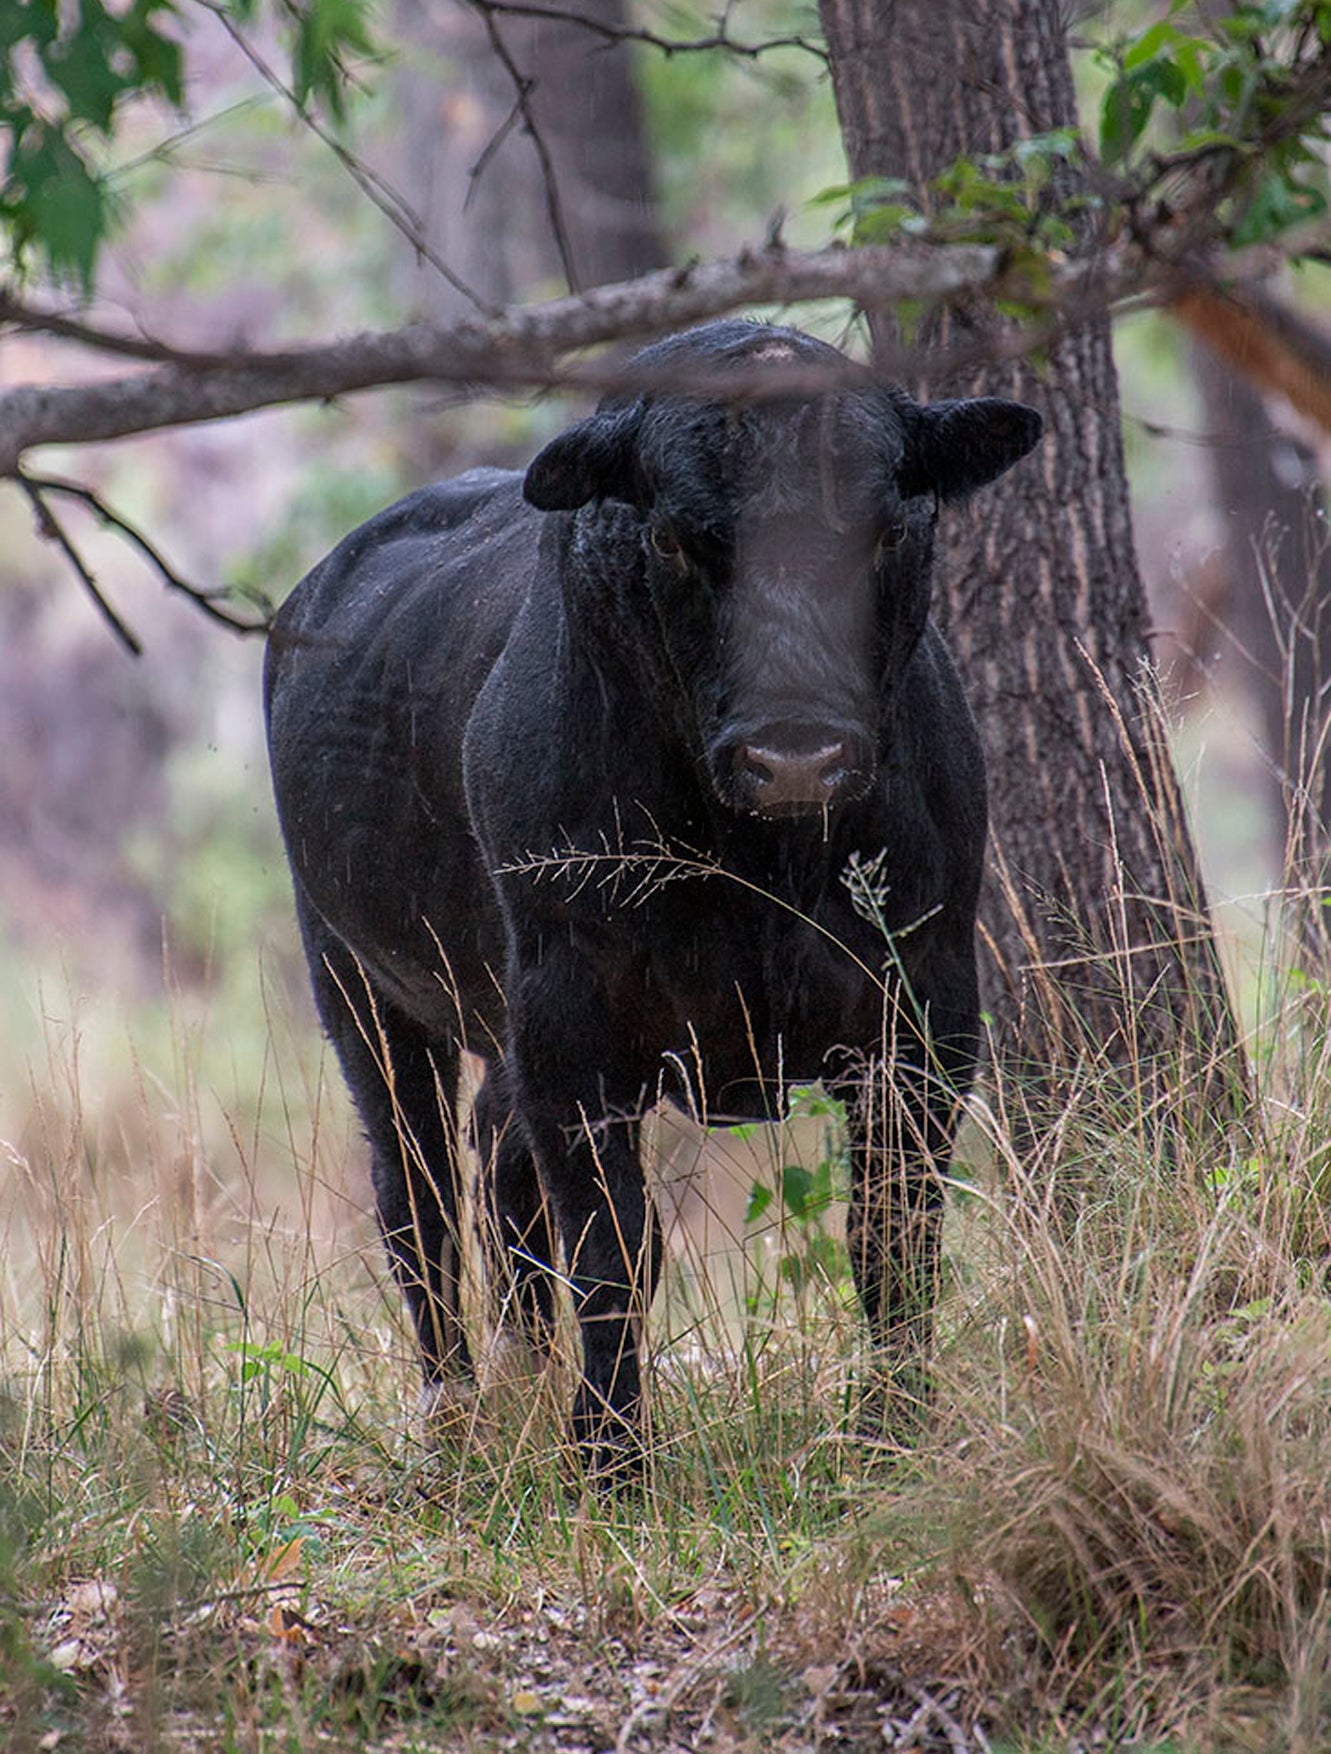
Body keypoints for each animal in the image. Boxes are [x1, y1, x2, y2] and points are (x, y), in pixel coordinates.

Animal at [264, 319, 1042, 1477]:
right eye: (678, 538)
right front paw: (612, 1460)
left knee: (495, 1165)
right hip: (359, 984)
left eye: (887, 530)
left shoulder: (925, 1012)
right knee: (417, 1196)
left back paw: (523, 1371)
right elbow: (613, 1252)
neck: (758, 866)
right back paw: (456, 1412)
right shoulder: (572, 1027)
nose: (795, 753)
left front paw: (893, 1434)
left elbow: (891, 1239)